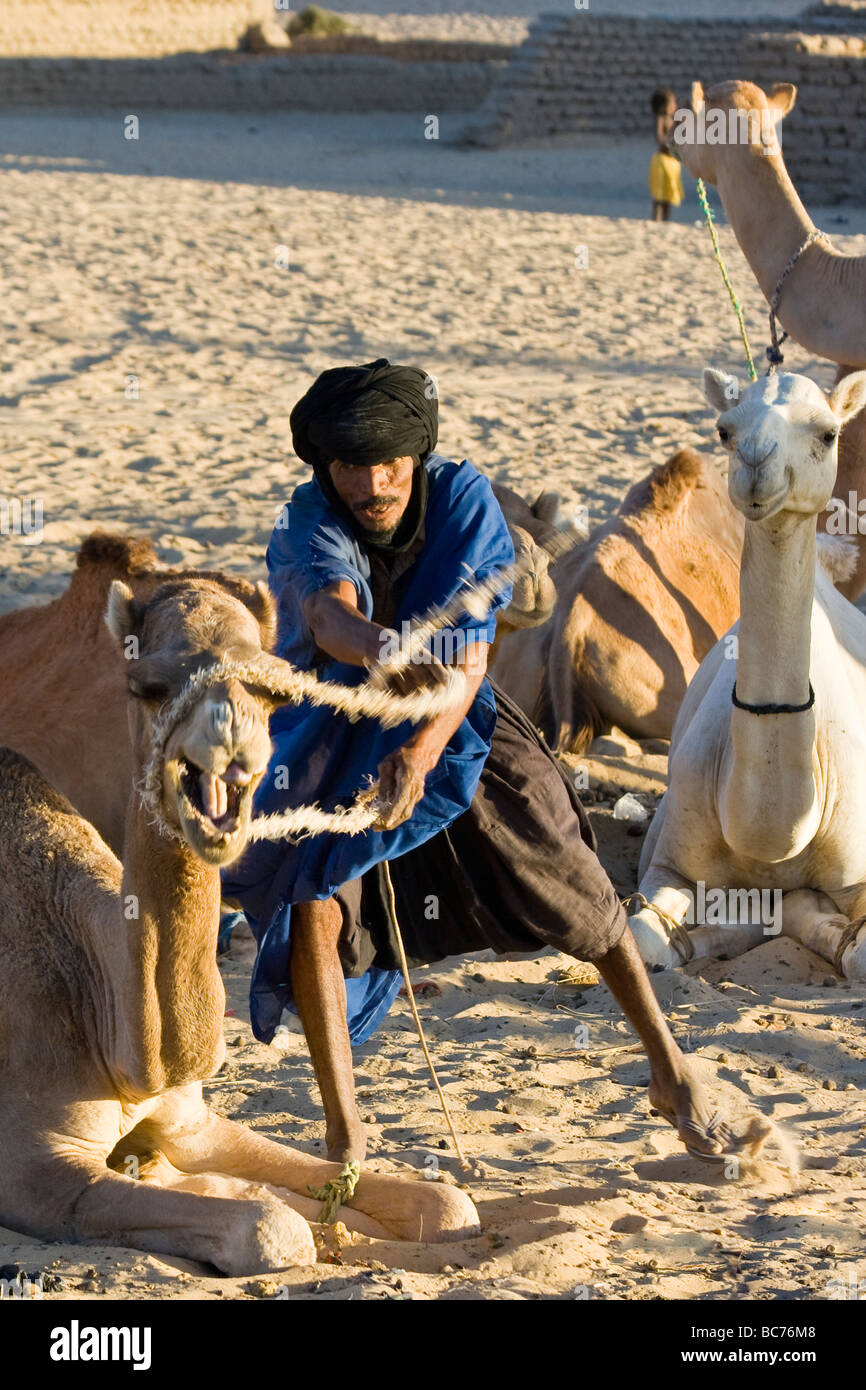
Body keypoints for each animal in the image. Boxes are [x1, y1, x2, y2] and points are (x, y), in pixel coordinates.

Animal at [0, 553, 478, 1273]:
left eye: (275, 692)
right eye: (147, 686)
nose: (226, 747)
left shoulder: (191, 1121)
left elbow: (447, 1205)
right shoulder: (36, 1170)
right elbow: (271, 1230)